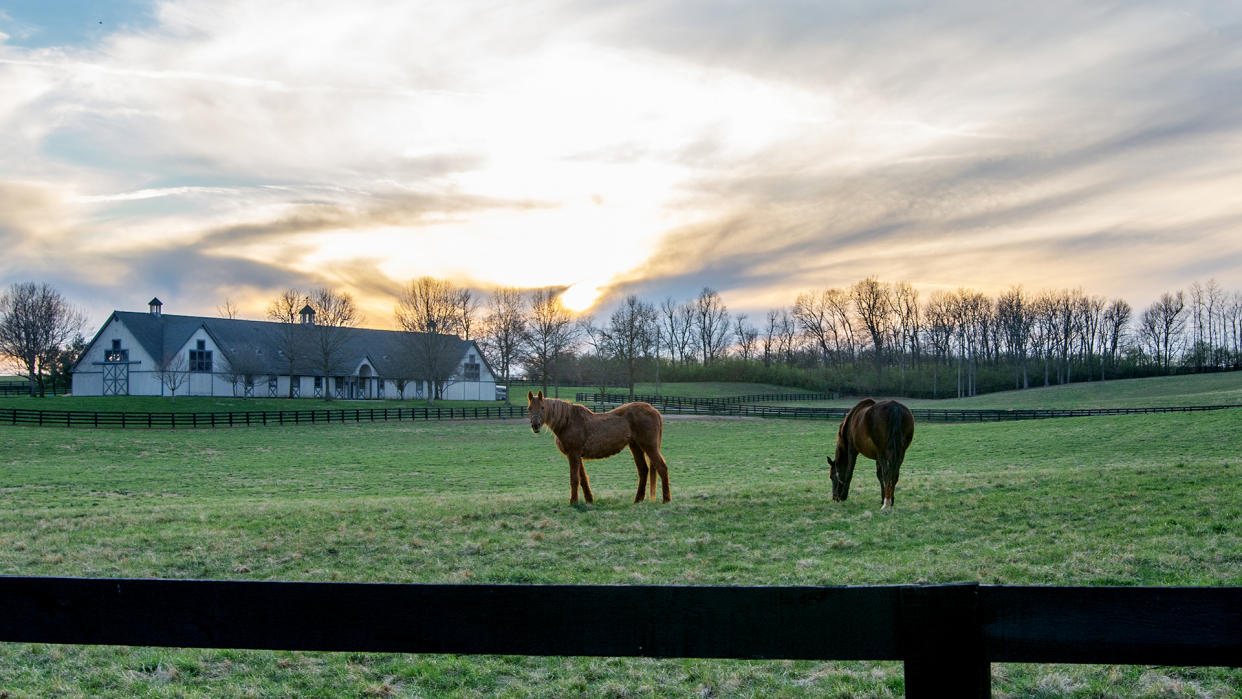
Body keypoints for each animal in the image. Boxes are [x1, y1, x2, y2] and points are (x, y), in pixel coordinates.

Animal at [529, 392, 675, 506]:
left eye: (542, 407)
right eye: (530, 408)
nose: (535, 425)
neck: (568, 421)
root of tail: (654, 410)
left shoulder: (574, 454)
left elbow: (574, 479)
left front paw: (573, 502)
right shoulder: (577, 455)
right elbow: (583, 478)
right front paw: (589, 500)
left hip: (649, 447)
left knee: (662, 468)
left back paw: (666, 500)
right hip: (635, 447)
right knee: (643, 470)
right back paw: (638, 500)